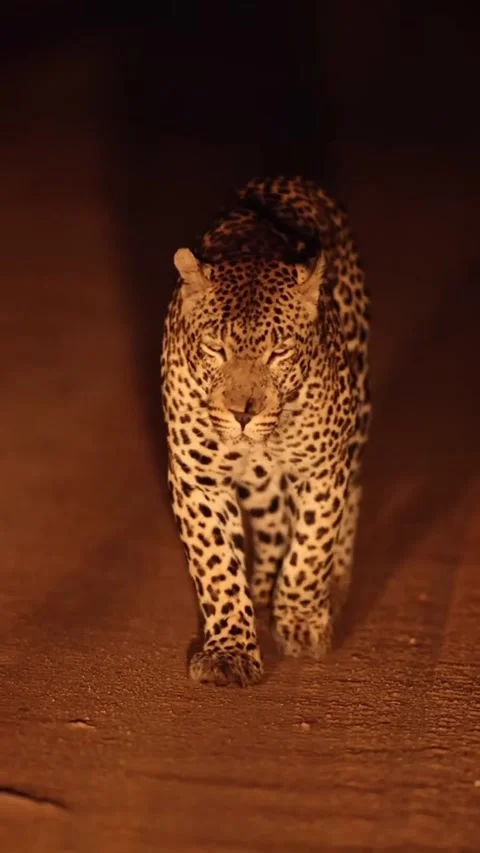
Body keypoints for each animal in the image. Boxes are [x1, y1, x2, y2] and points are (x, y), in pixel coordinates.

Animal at [161, 176, 371, 687]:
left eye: (279, 353)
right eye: (215, 349)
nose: (242, 414)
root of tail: (289, 178)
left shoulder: (321, 469)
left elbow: (311, 547)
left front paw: (299, 621)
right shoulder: (198, 479)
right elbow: (217, 564)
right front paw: (230, 651)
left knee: (350, 495)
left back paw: (333, 585)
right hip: (258, 482)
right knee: (273, 522)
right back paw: (260, 589)